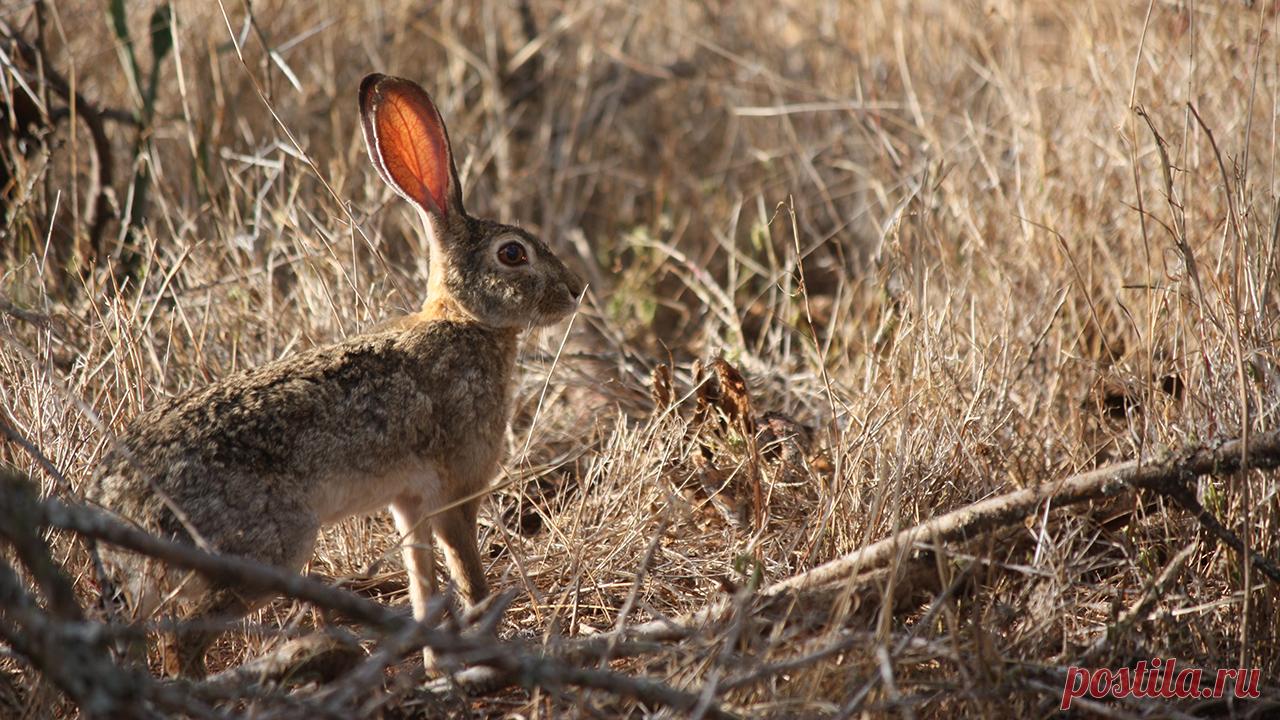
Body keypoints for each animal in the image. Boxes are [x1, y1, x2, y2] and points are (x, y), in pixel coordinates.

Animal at [86, 73, 584, 677]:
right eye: (513, 254)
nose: (575, 290)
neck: (465, 320)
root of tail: (118, 504)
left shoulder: (409, 502)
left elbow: (423, 587)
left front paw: (436, 669)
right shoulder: (456, 493)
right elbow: (469, 579)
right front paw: (489, 657)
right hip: (266, 549)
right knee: (181, 640)